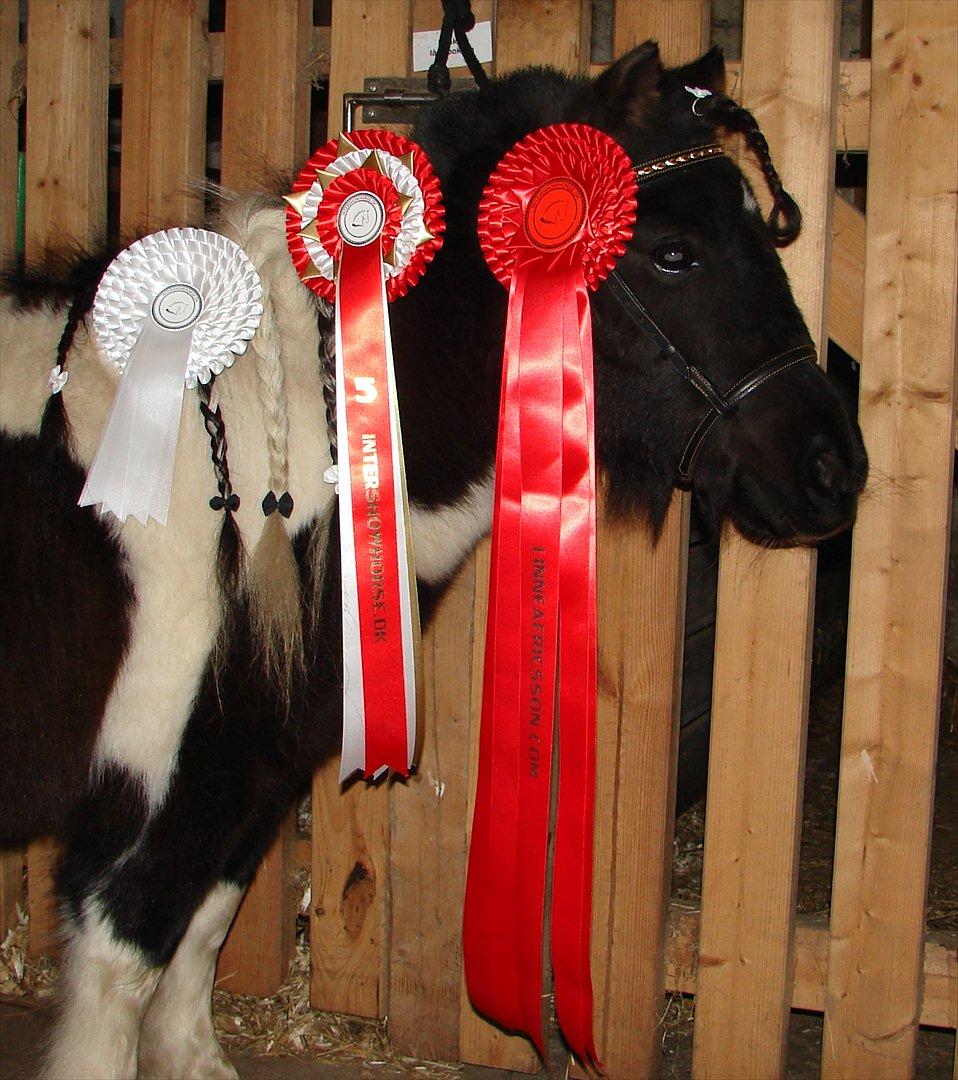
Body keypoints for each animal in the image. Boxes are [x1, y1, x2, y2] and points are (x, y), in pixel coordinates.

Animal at [0, 46, 868, 1080]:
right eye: (672, 252)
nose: (835, 467)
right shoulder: (146, 805)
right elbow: (120, 983)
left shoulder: (249, 775)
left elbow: (203, 931)